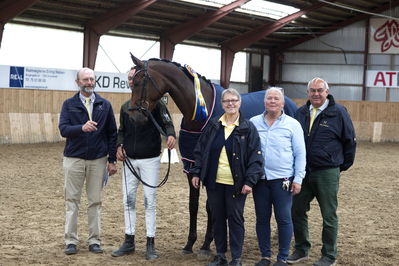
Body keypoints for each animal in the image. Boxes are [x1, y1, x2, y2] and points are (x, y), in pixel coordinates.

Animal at [127, 53, 296, 255]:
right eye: (131, 83)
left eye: (138, 82)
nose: (134, 117)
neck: (200, 113)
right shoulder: (191, 166)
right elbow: (193, 205)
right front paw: (190, 244)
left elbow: (210, 207)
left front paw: (207, 243)